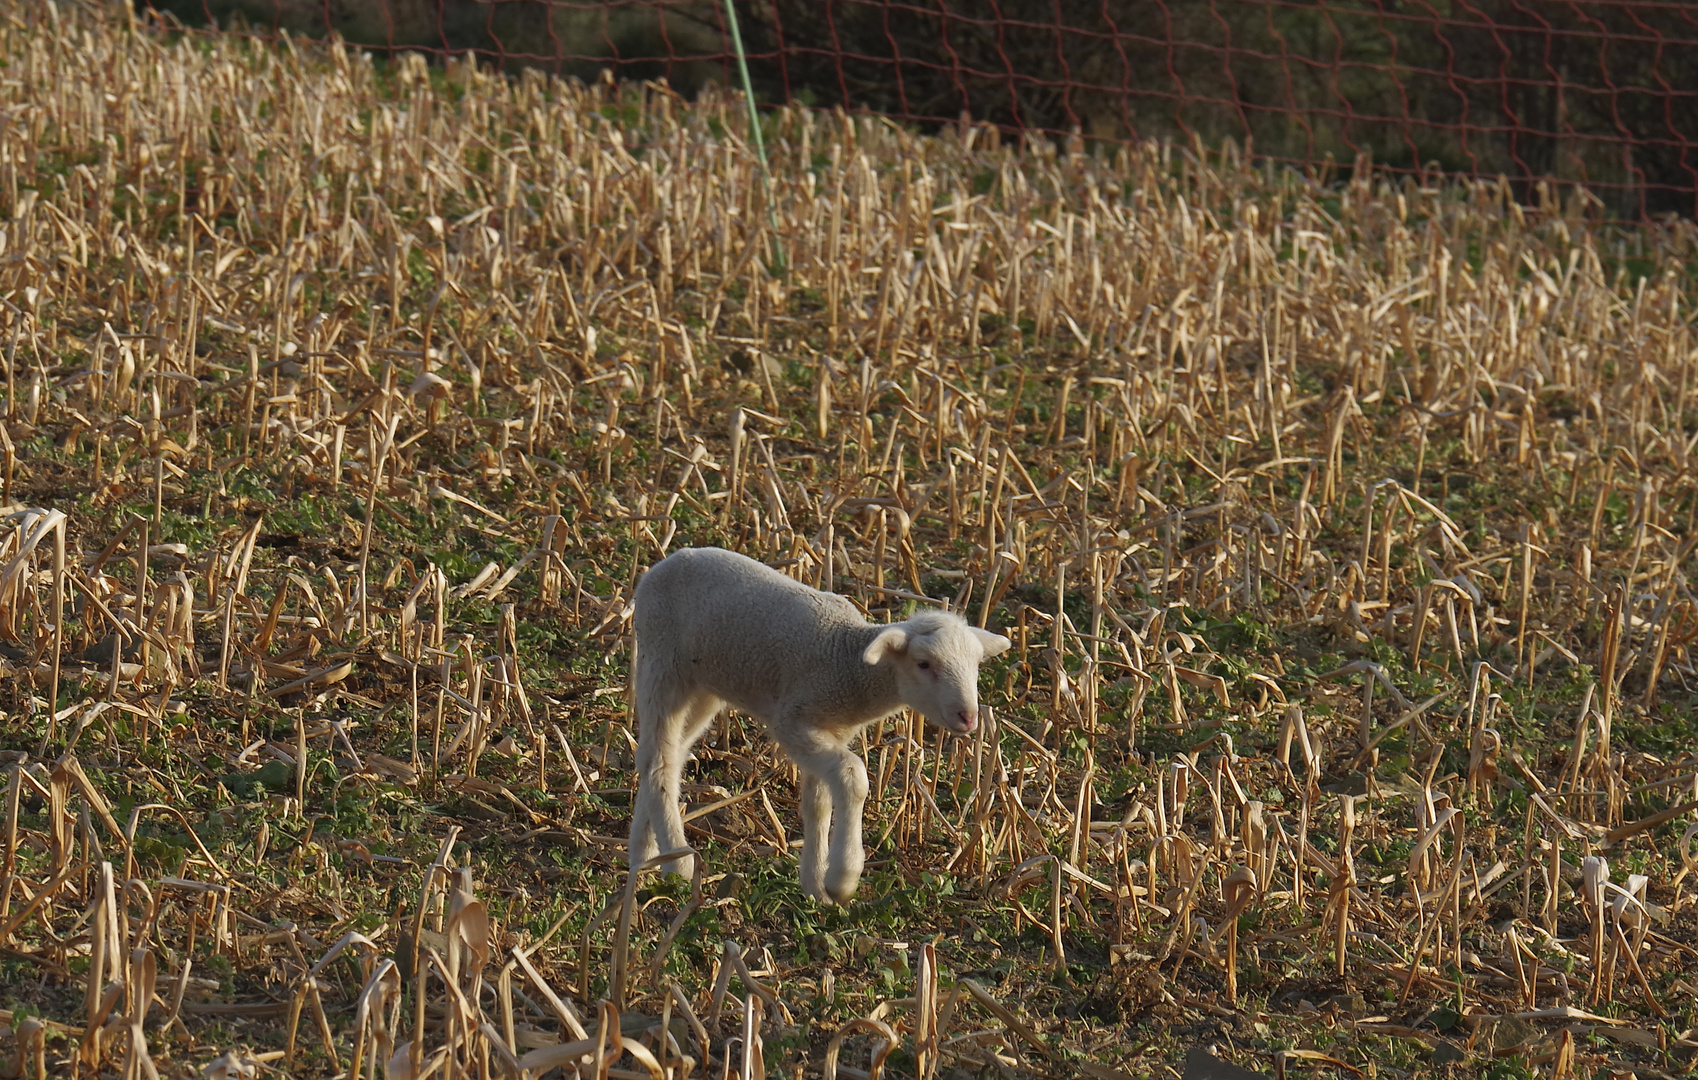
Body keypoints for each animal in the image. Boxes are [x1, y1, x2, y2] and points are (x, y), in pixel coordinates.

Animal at [635, 546, 1005, 903]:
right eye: (924, 664)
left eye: (977, 664)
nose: (969, 716)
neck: (848, 662)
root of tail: (669, 560)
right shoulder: (793, 721)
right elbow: (852, 777)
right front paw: (842, 878)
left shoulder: (831, 729)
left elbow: (818, 804)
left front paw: (815, 887)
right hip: (661, 664)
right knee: (658, 760)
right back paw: (677, 862)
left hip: (705, 687)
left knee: (667, 756)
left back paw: (645, 856)